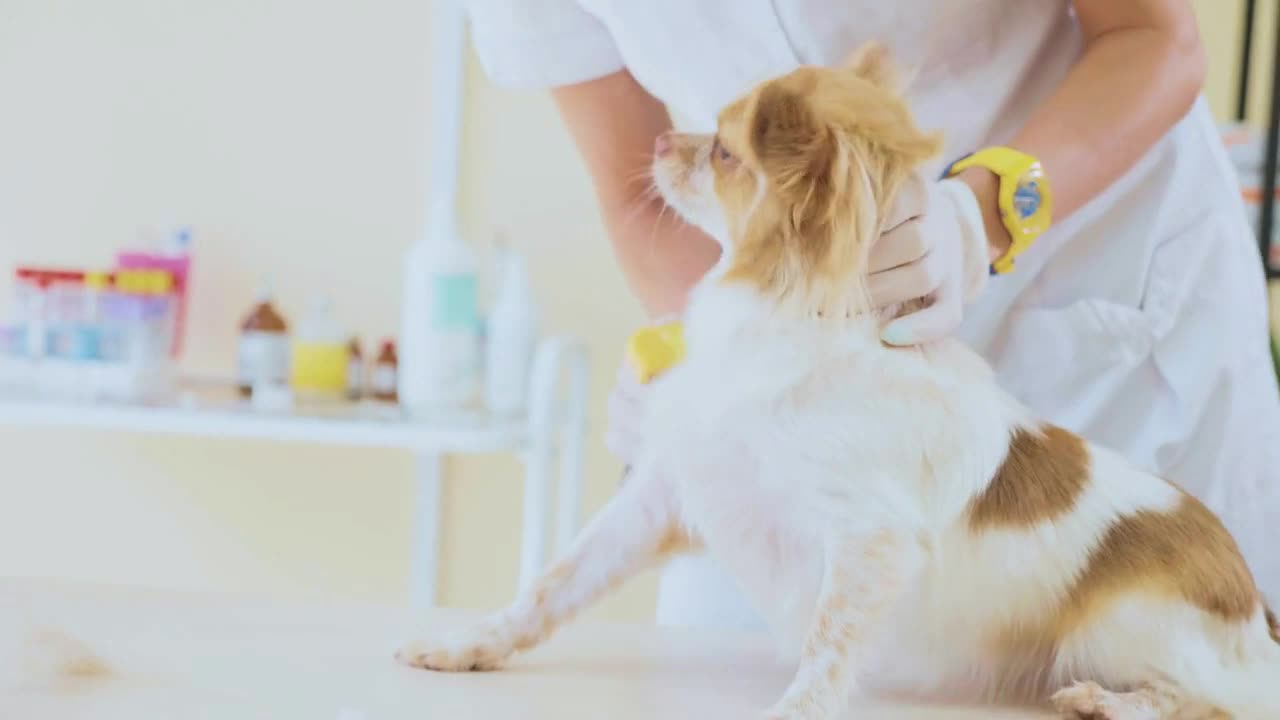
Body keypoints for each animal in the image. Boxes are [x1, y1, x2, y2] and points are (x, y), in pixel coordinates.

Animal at [399, 46, 1280, 717]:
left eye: (724, 151)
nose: (656, 144)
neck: (786, 322)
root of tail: (1254, 606)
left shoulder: (868, 541)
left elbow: (828, 643)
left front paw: (795, 710)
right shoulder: (667, 494)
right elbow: (556, 581)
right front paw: (470, 642)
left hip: (1123, 626)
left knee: (1214, 702)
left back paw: (1108, 701)